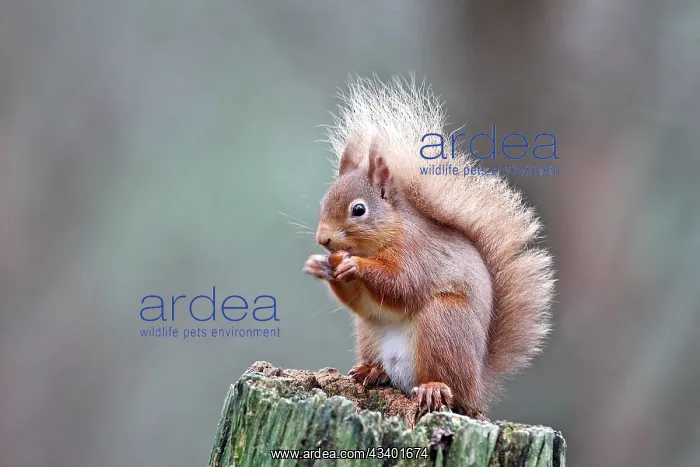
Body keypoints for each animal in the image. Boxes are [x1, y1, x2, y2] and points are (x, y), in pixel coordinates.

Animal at [303, 76, 555, 416]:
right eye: (323, 203)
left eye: (358, 209)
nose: (324, 240)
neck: (388, 234)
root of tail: (477, 385)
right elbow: (362, 302)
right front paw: (320, 265)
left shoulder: (417, 253)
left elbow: (404, 285)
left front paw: (356, 266)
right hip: (369, 331)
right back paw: (374, 370)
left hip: (444, 323)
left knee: (447, 383)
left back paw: (433, 387)